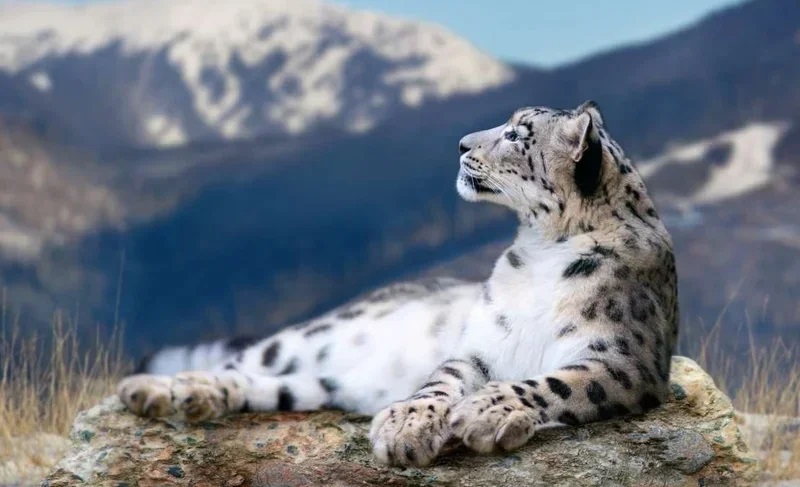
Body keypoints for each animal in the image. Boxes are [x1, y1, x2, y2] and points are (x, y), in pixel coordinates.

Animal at [118, 101, 679, 468]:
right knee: (238, 363)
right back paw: (161, 389)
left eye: (518, 135)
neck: (541, 248)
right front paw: (408, 425)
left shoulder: (624, 358)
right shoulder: (479, 345)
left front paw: (483, 413)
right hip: (305, 337)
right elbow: (442, 379)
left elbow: (553, 382)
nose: (461, 143)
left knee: (269, 385)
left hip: (316, 384)